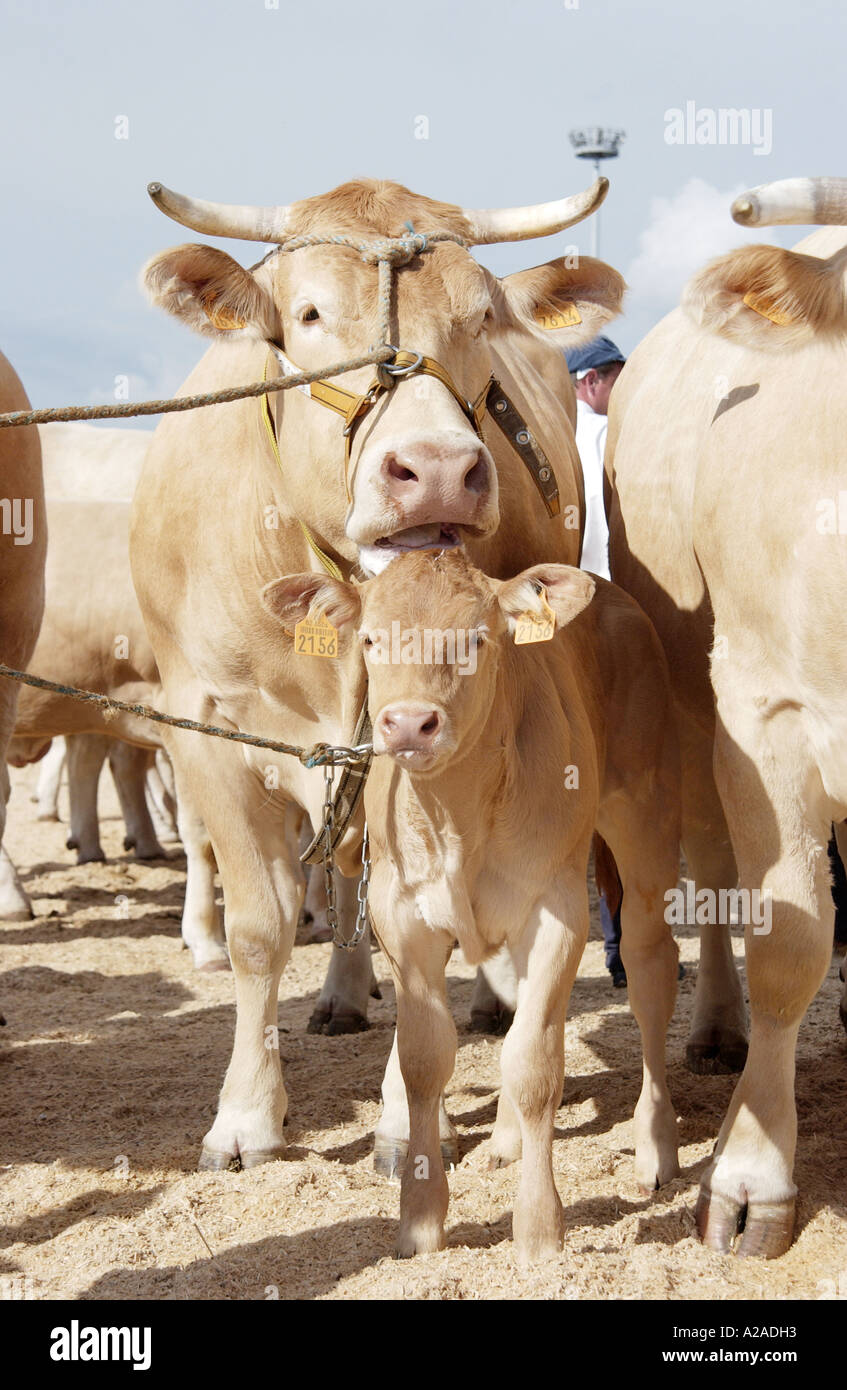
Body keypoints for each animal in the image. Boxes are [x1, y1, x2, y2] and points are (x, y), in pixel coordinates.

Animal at [130, 173, 620, 1167]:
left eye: (480, 316)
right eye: (309, 314)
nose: (436, 469)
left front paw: (403, 1119)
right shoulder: (202, 726)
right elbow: (259, 927)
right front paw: (246, 1115)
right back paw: (342, 994)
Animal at [267, 547, 684, 1267]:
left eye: (477, 640)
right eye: (370, 640)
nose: (409, 723)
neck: (458, 816)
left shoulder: (556, 910)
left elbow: (536, 1065)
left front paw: (539, 1229)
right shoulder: (403, 922)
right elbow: (426, 1061)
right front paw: (420, 1220)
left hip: (643, 818)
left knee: (649, 969)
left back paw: (654, 1146)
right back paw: (505, 1141)